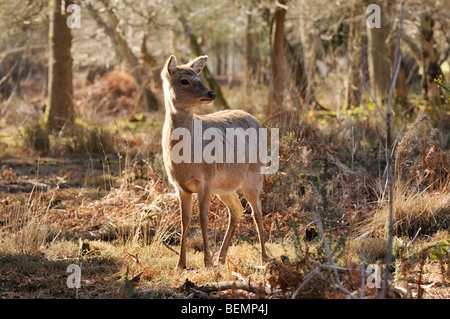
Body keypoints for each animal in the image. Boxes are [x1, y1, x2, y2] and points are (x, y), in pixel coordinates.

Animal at [161, 55, 268, 270]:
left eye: (199, 77)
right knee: (237, 209)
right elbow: (184, 220)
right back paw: (222, 257)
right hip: (224, 187)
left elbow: (203, 218)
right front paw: (180, 263)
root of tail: (256, 120)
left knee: (256, 212)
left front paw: (207, 261)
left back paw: (263, 257)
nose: (212, 93)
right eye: (184, 80)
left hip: (253, 175)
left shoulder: (206, 180)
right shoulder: (180, 186)